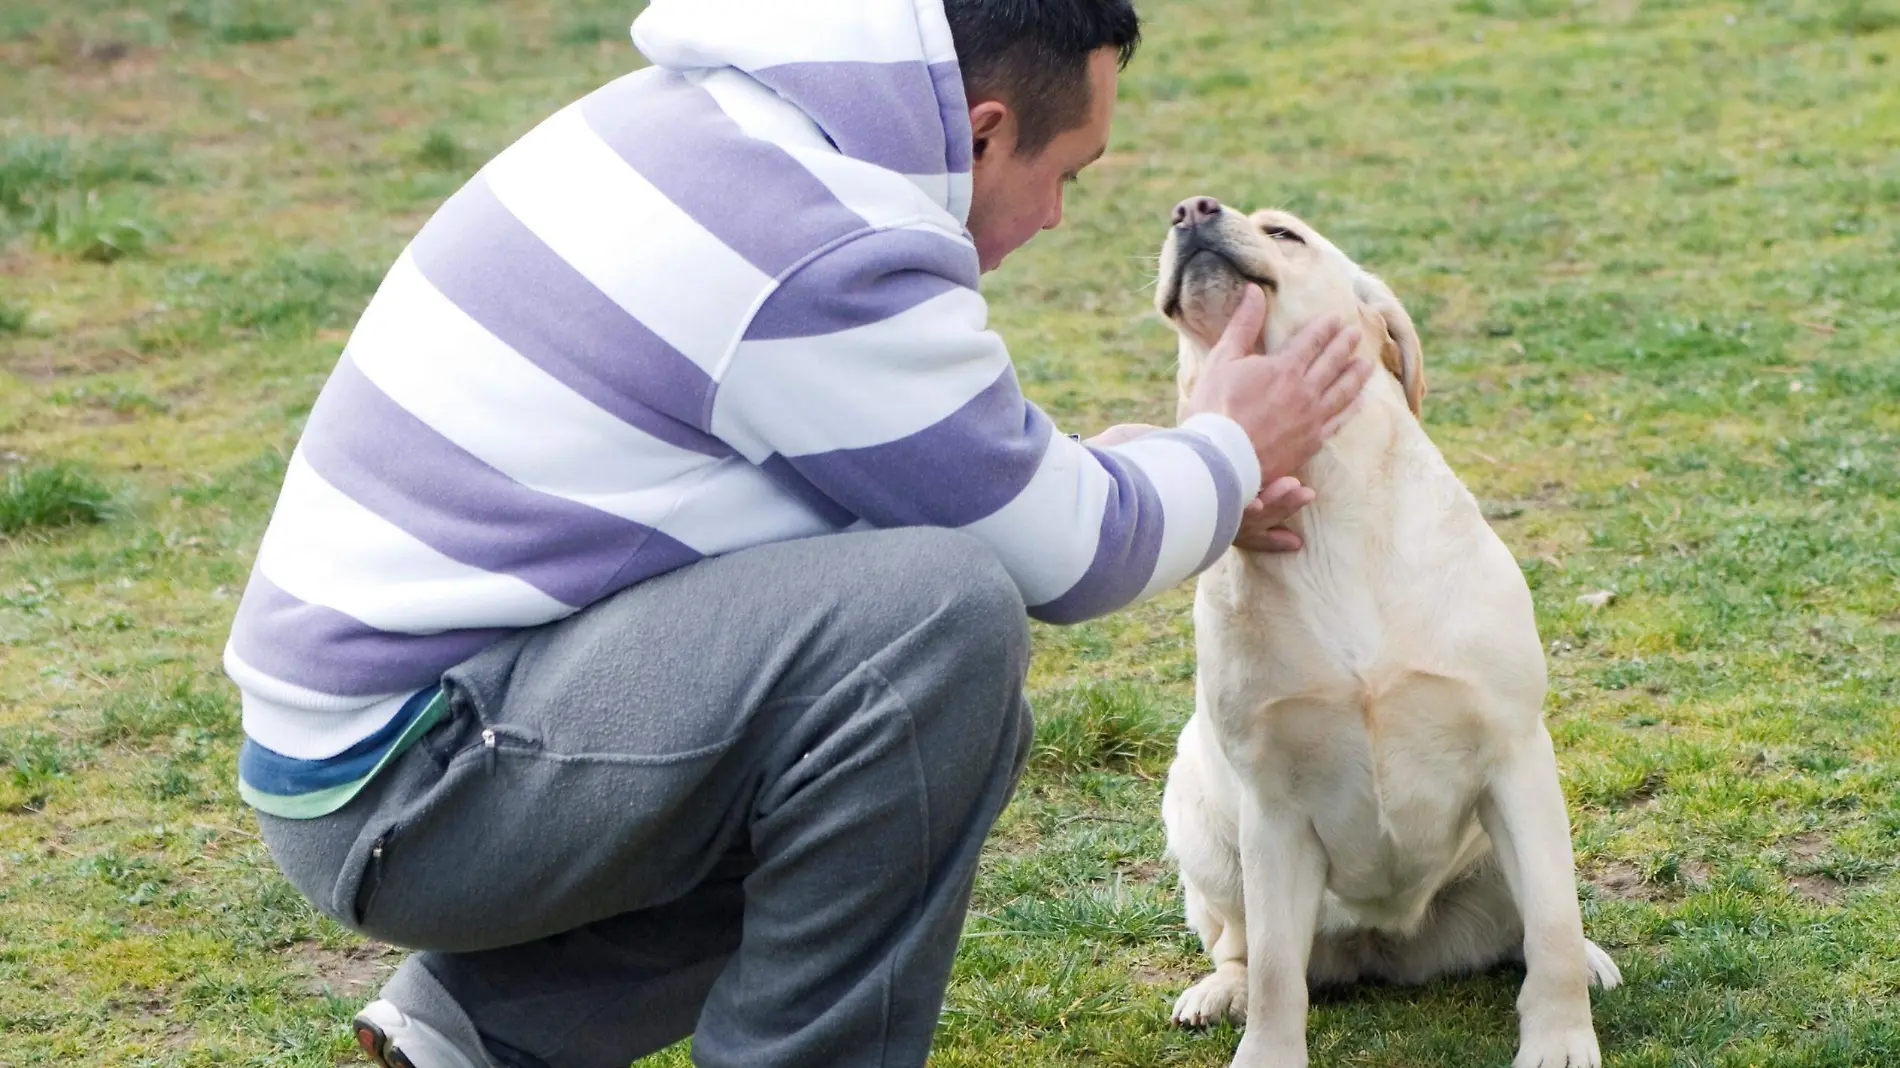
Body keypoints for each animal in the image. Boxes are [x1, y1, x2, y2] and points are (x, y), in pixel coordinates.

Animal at [1140, 197, 1618, 1064]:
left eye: (1284, 232)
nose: (1190, 209)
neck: (1330, 509)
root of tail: (1386, 950)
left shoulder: (1515, 757)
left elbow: (1554, 924)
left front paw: (1560, 1039)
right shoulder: (1273, 811)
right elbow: (1276, 976)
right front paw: (1265, 1051)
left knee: (1535, 926)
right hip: (1202, 824)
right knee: (1240, 946)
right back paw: (1217, 990)